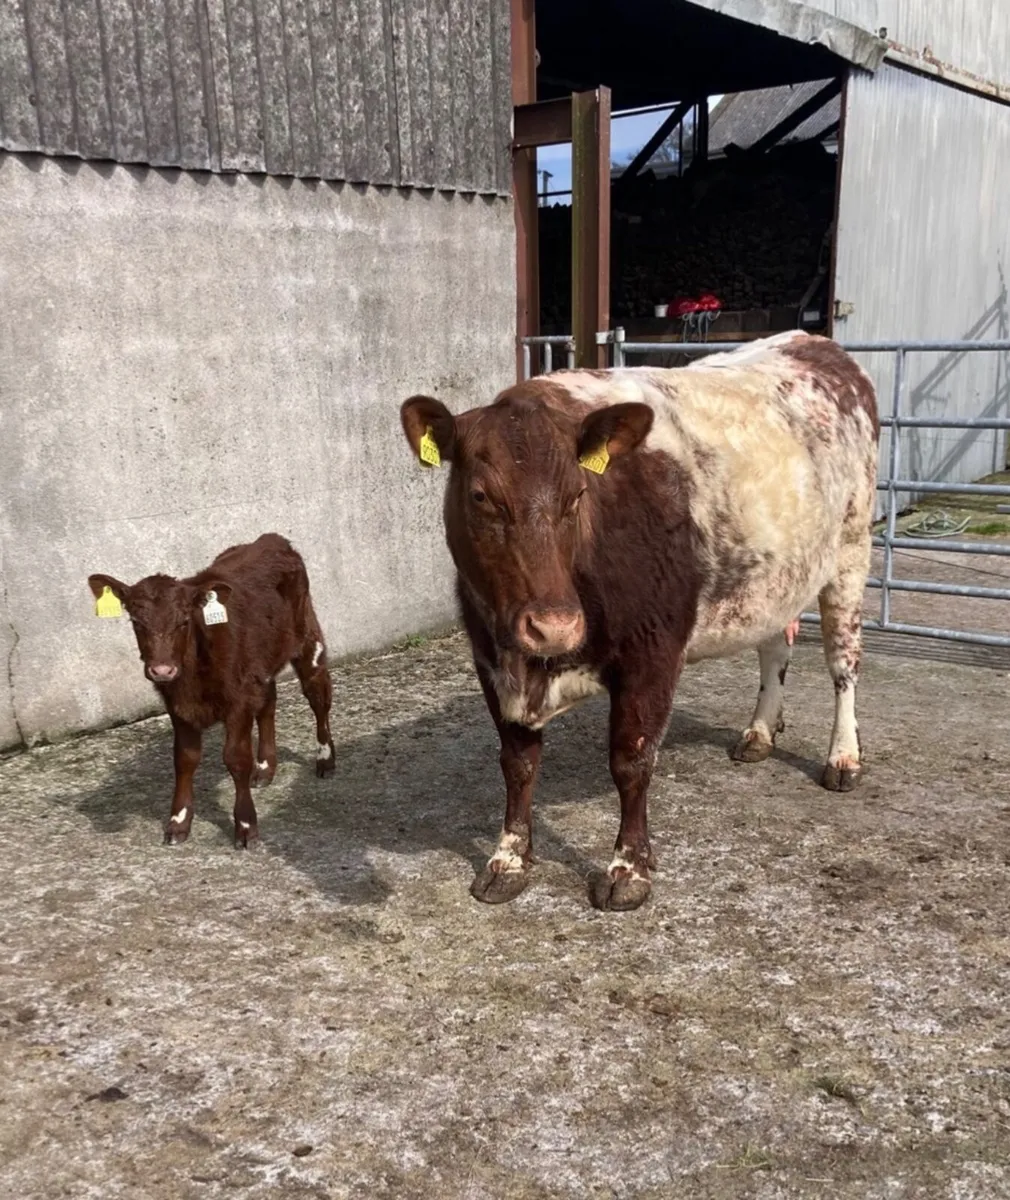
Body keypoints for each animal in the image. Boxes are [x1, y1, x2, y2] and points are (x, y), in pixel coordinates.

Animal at [88, 533, 335, 847]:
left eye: (184, 621)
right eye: (136, 622)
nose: (162, 670)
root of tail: (270, 539)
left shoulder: (238, 701)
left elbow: (235, 758)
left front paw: (245, 825)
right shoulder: (177, 704)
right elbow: (185, 758)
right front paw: (178, 821)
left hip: (307, 638)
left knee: (318, 695)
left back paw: (325, 760)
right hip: (260, 664)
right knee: (268, 702)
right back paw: (265, 768)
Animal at [400, 331, 879, 912]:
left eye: (578, 495)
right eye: (480, 496)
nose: (554, 626)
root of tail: (814, 343)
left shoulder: (653, 653)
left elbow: (631, 763)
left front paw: (628, 869)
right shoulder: (490, 657)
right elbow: (517, 764)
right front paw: (508, 859)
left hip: (851, 552)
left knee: (844, 664)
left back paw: (844, 758)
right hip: (774, 582)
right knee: (774, 649)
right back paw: (760, 731)